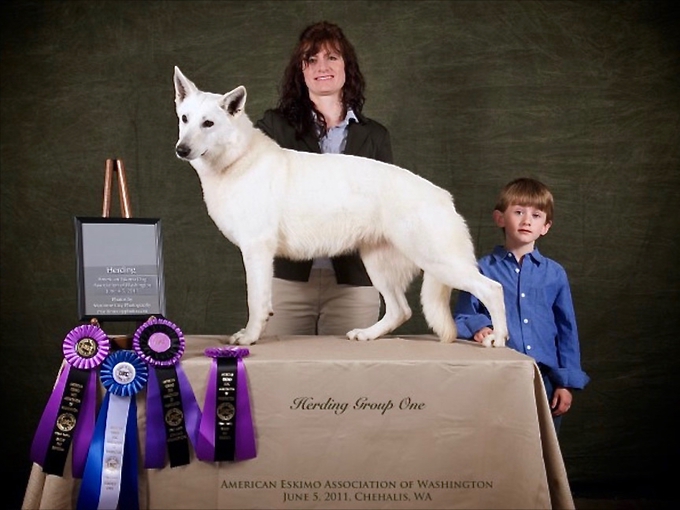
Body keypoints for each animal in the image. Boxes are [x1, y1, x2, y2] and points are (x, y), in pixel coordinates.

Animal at [173, 66, 508, 346]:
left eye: (208, 123)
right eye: (185, 119)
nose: (181, 150)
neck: (237, 159)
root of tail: (443, 196)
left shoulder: (257, 251)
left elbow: (256, 302)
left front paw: (249, 338)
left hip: (439, 262)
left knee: (492, 289)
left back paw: (499, 339)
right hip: (379, 266)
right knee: (400, 310)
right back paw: (367, 335)